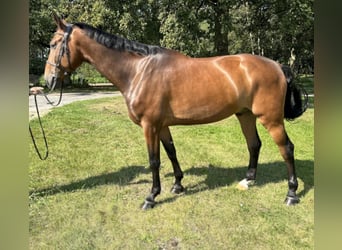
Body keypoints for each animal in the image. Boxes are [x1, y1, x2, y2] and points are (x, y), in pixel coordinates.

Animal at [43, 13, 308, 209]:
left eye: (54, 44)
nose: (48, 80)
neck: (139, 70)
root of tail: (277, 65)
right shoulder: (161, 125)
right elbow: (171, 152)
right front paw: (178, 185)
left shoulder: (149, 125)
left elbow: (154, 161)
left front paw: (151, 197)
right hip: (245, 115)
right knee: (254, 145)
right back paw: (248, 180)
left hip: (271, 119)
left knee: (286, 149)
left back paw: (291, 194)